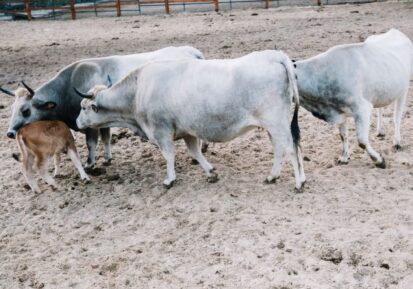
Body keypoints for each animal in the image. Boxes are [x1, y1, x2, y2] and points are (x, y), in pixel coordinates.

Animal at [3, 45, 203, 169]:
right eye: (12, 109)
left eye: (26, 110)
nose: (10, 133)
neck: (68, 87)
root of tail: (189, 51)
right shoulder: (103, 120)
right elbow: (106, 138)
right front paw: (107, 158)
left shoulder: (90, 125)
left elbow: (91, 143)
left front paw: (90, 164)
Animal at [74, 50, 306, 190]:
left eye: (84, 107)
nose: (76, 123)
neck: (138, 90)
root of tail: (274, 55)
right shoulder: (187, 132)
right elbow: (195, 152)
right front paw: (210, 172)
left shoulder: (161, 131)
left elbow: (169, 156)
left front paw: (169, 179)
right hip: (272, 125)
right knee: (280, 148)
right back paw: (274, 176)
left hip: (276, 122)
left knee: (290, 148)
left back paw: (298, 182)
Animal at [294, 28, 410, 168]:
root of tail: (393, 31)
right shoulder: (339, 110)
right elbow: (343, 135)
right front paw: (344, 157)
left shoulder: (362, 108)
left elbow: (362, 141)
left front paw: (379, 160)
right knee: (381, 109)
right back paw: (380, 131)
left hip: (404, 90)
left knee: (397, 118)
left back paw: (397, 142)